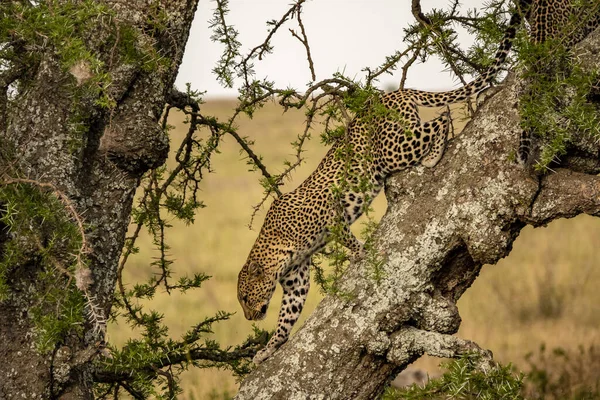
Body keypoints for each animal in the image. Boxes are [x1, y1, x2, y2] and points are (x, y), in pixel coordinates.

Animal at [238, 12, 520, 364]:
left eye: (246, 297)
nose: (250, 317)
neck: (276, 252)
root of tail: (392, 94)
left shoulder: (327, 213)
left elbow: (344, 233)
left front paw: (360, 253)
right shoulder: (296, 280)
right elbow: (287, 316)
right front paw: (268, 349)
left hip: (391, 149)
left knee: (440, 118)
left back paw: (434, 155)